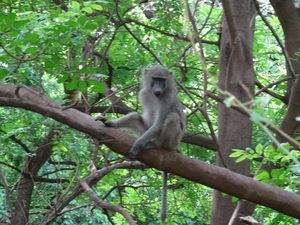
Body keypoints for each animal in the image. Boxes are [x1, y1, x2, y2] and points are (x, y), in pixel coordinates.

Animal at [96, 64, 185, 223]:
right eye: (155, 79)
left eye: (162, 80)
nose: (158, 90)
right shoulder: (143, 94)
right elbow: (141, 117)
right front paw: (110, 122)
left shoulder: (167, 99)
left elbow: (159, 123)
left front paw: (137, 146)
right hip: (144, 131)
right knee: (136, 117)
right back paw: (111, 124)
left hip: (173, 140)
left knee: (172, 117)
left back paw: (155, 145)